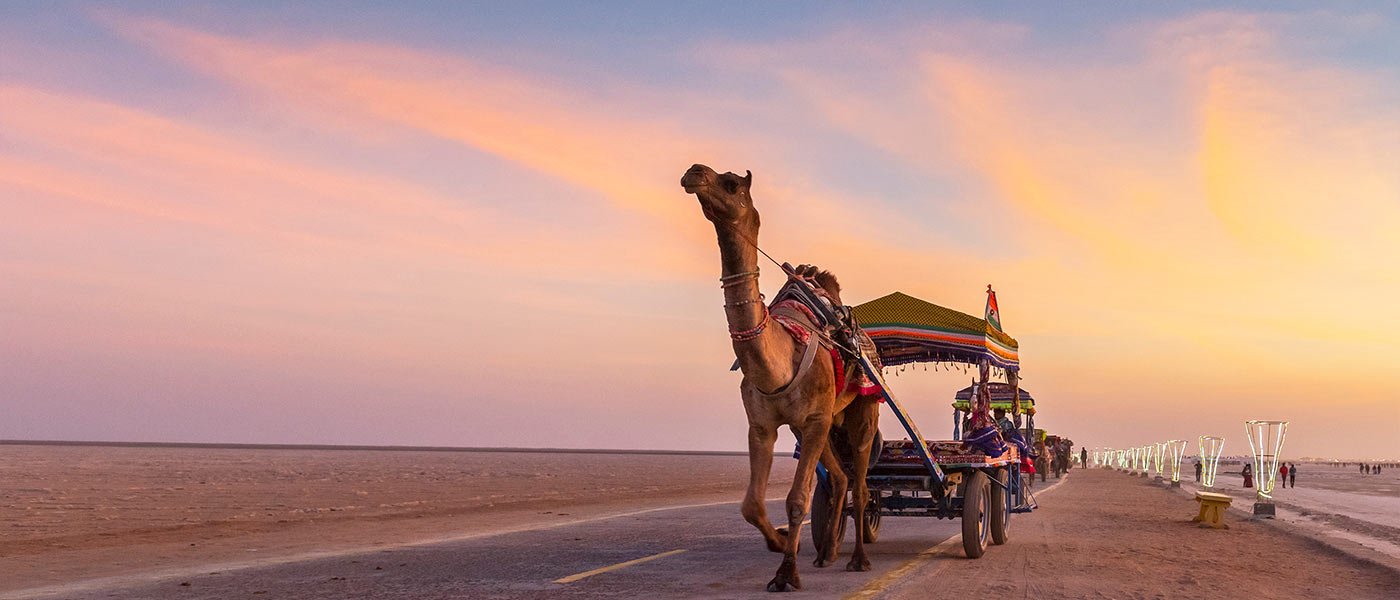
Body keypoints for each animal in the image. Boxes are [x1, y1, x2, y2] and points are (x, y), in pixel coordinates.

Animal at [677, 162, 873, 590]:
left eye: (732, 183)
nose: (694, 171)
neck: (778, 363)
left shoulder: (813, 418)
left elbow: (797, 500)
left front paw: (785, 573)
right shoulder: (763, 424)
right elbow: (751, 504)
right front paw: (782, 542)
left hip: (862, 408)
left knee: (862, 484)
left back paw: (858, 559)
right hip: (818, 423)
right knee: (840, 479)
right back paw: (826, 551)